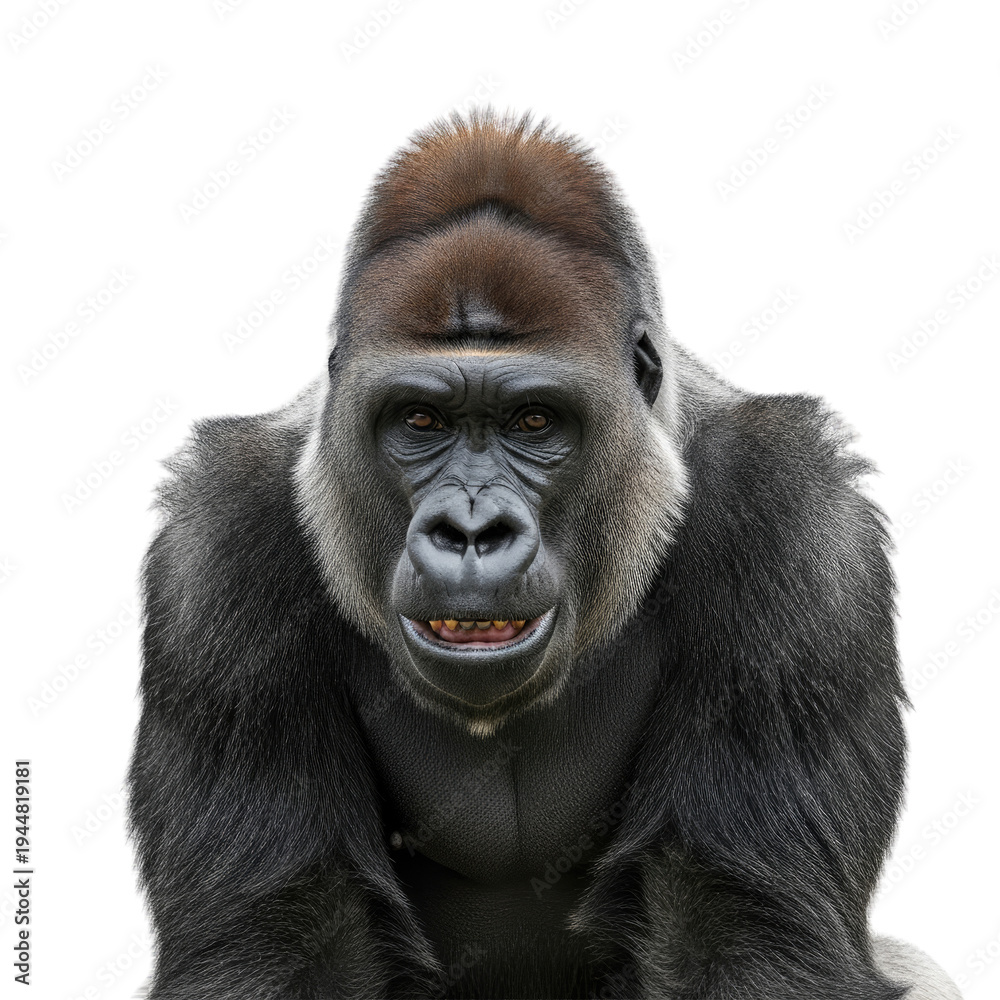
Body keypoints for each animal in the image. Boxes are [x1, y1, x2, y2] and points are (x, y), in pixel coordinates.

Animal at [128, 110, 962, 999]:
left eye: (534, 421)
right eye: (418, 421)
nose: (470, 531)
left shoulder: (799, 519)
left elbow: (745, 933)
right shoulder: (215, 544)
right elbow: (278, 937)